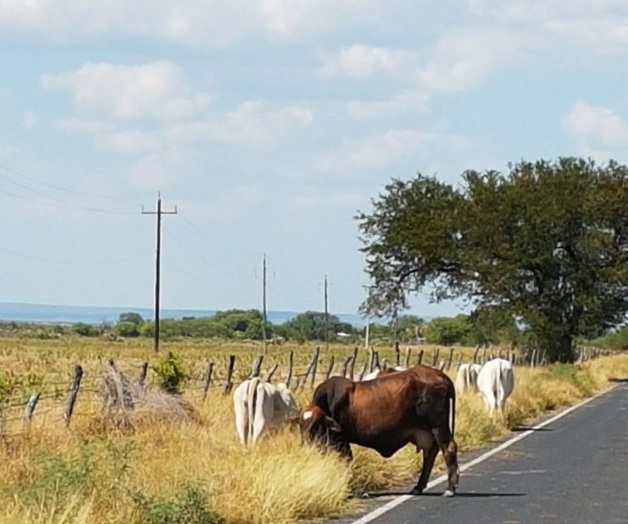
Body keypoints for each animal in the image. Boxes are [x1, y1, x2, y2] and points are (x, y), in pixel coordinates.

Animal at [296, 364, 458, 496]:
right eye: (300, 425)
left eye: (316, 424)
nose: (305, 443)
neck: (328, 406)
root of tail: (439, 374)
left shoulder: (341, 440)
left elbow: (347, 461)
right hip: (428, 431)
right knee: (430, 454)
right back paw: (419, 487)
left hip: (438, 426)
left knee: (448, 448)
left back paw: (450, 488)